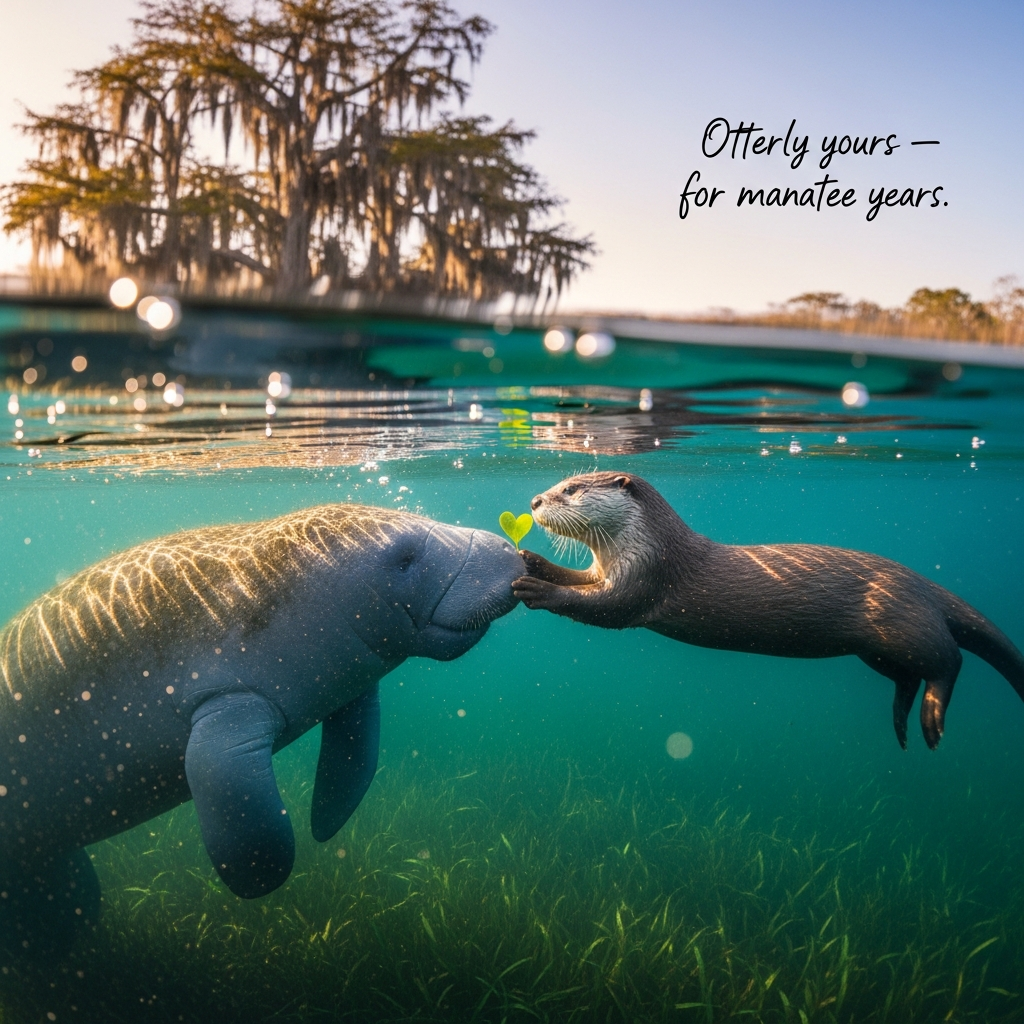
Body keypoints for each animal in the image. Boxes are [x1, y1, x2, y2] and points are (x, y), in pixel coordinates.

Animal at [512, 472, 1024, 750]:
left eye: (571, 489)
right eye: (557, 485)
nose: (534, 500)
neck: (647, 544)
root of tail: (923, 583)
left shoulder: (646, 577)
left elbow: (603, 608)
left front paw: (536, 588)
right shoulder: (607, 570)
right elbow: (581, 581)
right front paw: (535, 561)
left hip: (904, 624)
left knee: (948, 662)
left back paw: (932, 722)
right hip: (877, 650)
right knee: (907, 677)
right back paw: (901, 722)